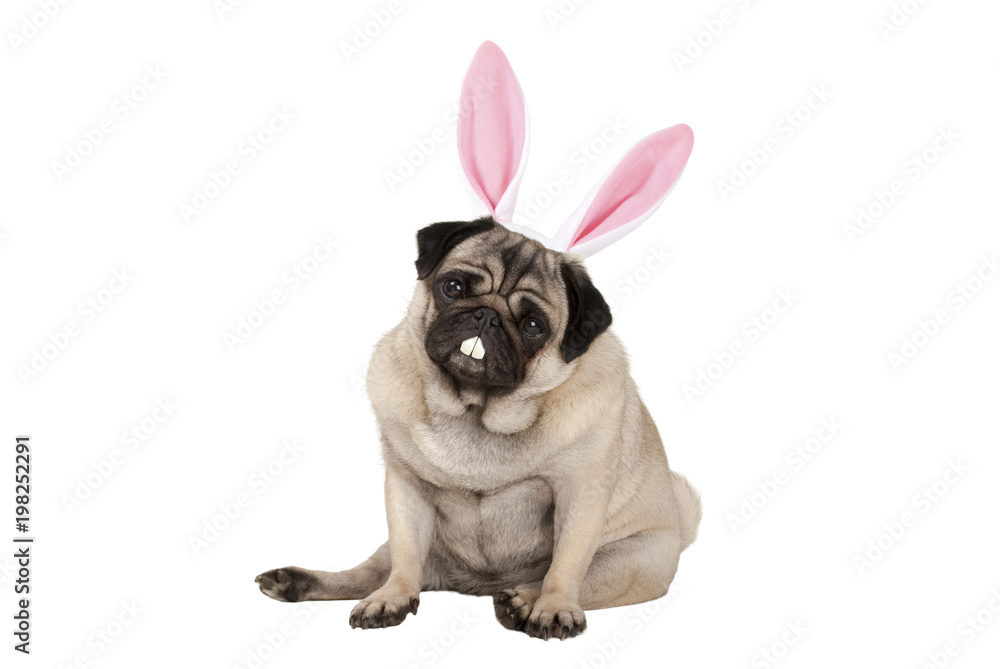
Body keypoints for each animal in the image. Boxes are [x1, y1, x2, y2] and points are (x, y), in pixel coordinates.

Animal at [254, 40, 700, 636]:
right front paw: (391, 600)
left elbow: (568, 561)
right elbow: (403, 557)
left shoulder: (581, 494)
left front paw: (553, 606)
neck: (475, 410)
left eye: (533, 325)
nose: (486, 317)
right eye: (454, 287)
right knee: (372, 569)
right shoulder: (404, 488)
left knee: (572, 576)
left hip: (631, 559)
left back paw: (523, 600)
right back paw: (303, 582)